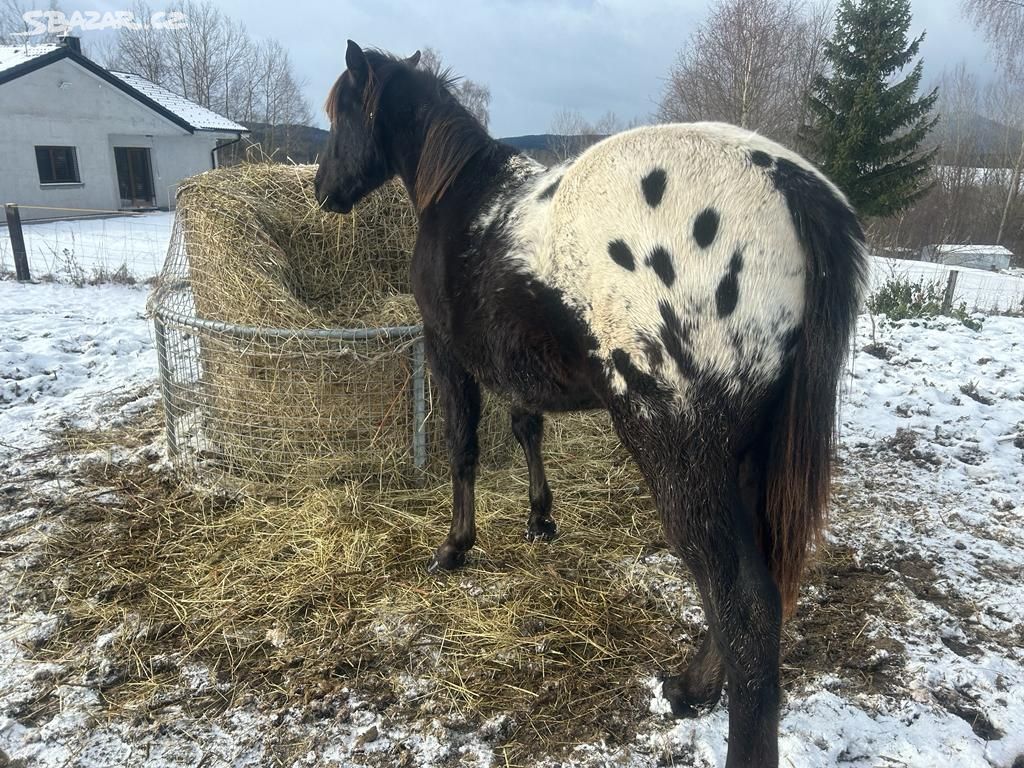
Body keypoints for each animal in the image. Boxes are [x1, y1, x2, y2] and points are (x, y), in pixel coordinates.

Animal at [315, 40, 868, 768]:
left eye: (341, 112)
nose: (322, 189)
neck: (464, 194)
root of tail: (790, 184)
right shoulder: (518, 371)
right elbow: (527, 428)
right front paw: (540, 519)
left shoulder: (448, 356)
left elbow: (463, 447)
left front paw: (456, 548)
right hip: (747, 455)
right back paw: (693, 688)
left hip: (681, 455)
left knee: (745, 605)